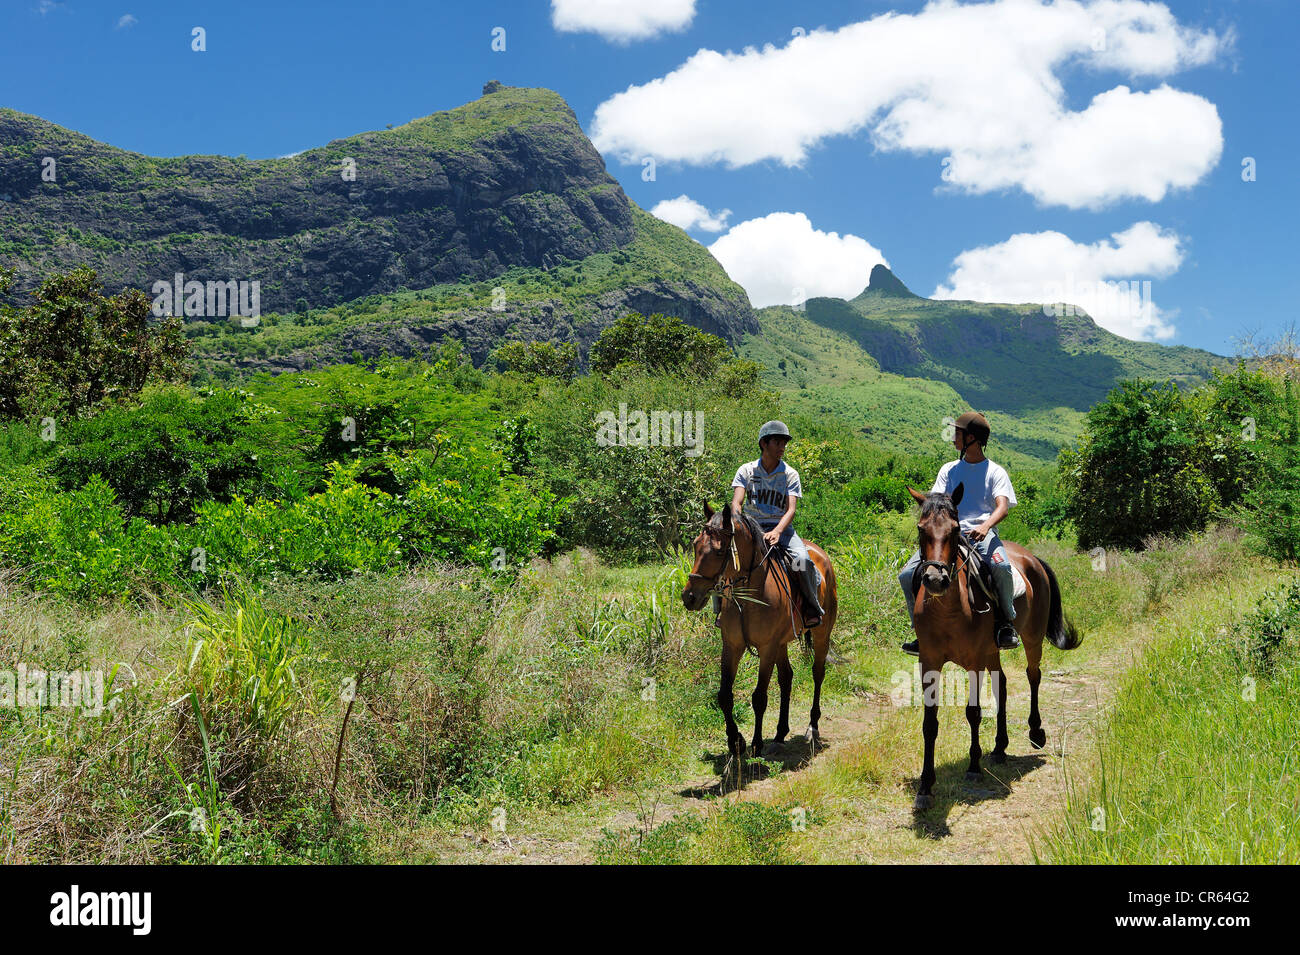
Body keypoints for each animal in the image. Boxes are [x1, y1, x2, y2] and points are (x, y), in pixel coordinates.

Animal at [686, 504, 837, 758]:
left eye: (719, 551)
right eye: (696, 545)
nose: (688, 596)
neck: (749, 595)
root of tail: (821, 554)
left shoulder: (767, 648)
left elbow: (759, 696)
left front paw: (756, 743)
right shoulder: (732, 646)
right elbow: (724, 695)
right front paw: (735, 741)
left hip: (821, 634)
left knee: (818, 673)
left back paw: (812, 727)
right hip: (782, 643)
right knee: (786, 678)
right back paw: (779, 734)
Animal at [904, 488, 1076, 810]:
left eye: (955, 530)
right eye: (921, 529)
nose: (935, 580)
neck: (947, 610)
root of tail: (1032, 558)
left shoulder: (974, 661)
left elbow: (973, 712)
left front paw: (973, 767)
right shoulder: (929, 662)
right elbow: (929, 723)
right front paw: (925, 787)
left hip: (1031, 639)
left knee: (1033, 675)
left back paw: (1036, 732)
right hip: (992, 652)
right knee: (1003, 684)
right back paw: (999, 747)